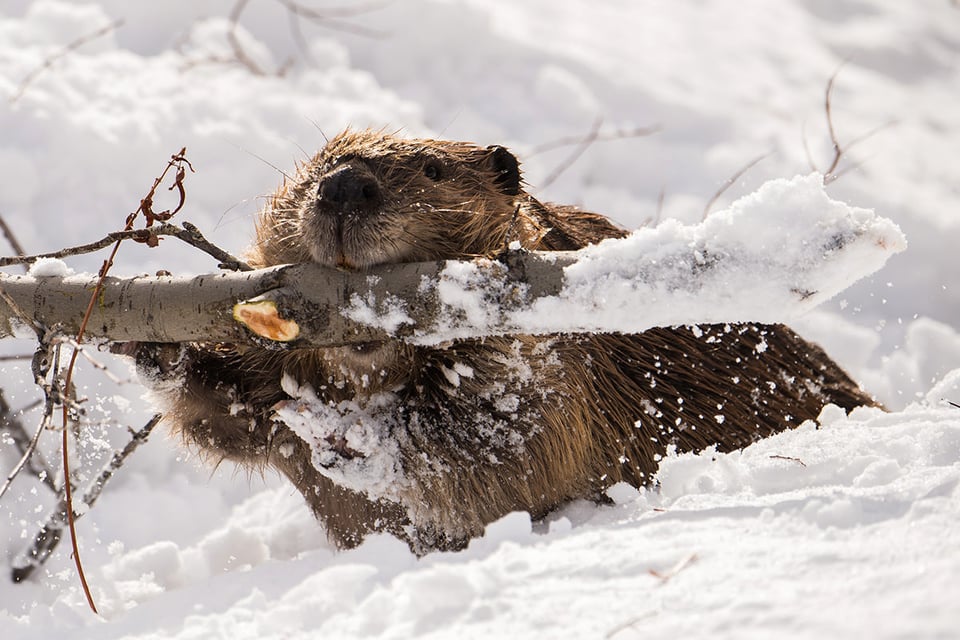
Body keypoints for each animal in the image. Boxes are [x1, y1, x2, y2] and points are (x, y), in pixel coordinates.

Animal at [135, 129, 876, 552]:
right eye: (316, 165)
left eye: (432, 170)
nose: (344, 187)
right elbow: (226, 420)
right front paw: (158, 346)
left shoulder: (560, 358)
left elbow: (506, 442)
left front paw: (347, 435)